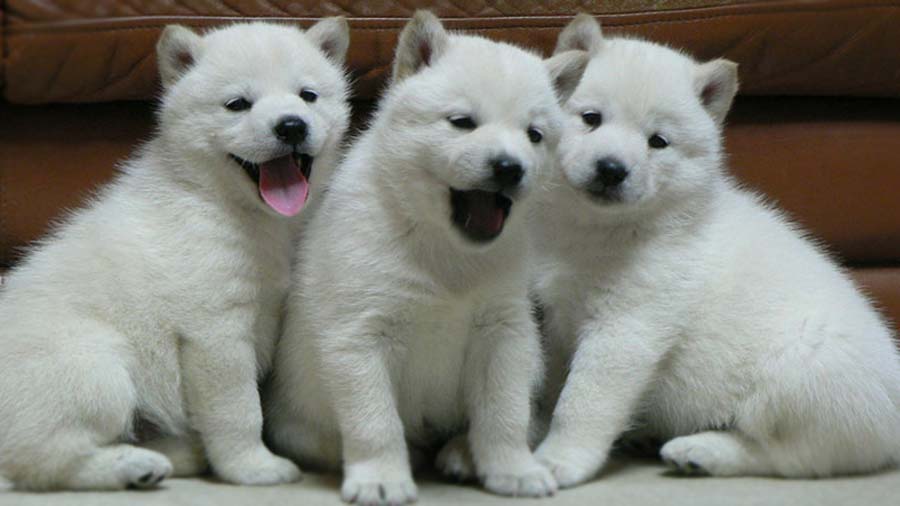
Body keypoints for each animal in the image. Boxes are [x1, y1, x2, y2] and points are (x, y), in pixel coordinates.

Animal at [266, 8, 592, 506]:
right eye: (461, 122)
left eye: (535, 135)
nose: (509, 167)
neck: (444, 250)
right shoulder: (359, 333)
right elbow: (374, 420)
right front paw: (381, 477)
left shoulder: (504, 329)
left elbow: (505, 411)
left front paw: (512, 469)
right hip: (297, 417)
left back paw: (461, 452)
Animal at [532, 12, 900, 486]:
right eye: (591, 118)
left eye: (658, 141)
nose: (612, 169)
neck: (599, 230)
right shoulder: (556, 317)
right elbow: (551, 385)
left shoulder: (628, 325)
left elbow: (582, 400)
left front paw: (558, 458)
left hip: (797, 377)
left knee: (787, 455)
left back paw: (701, 450)